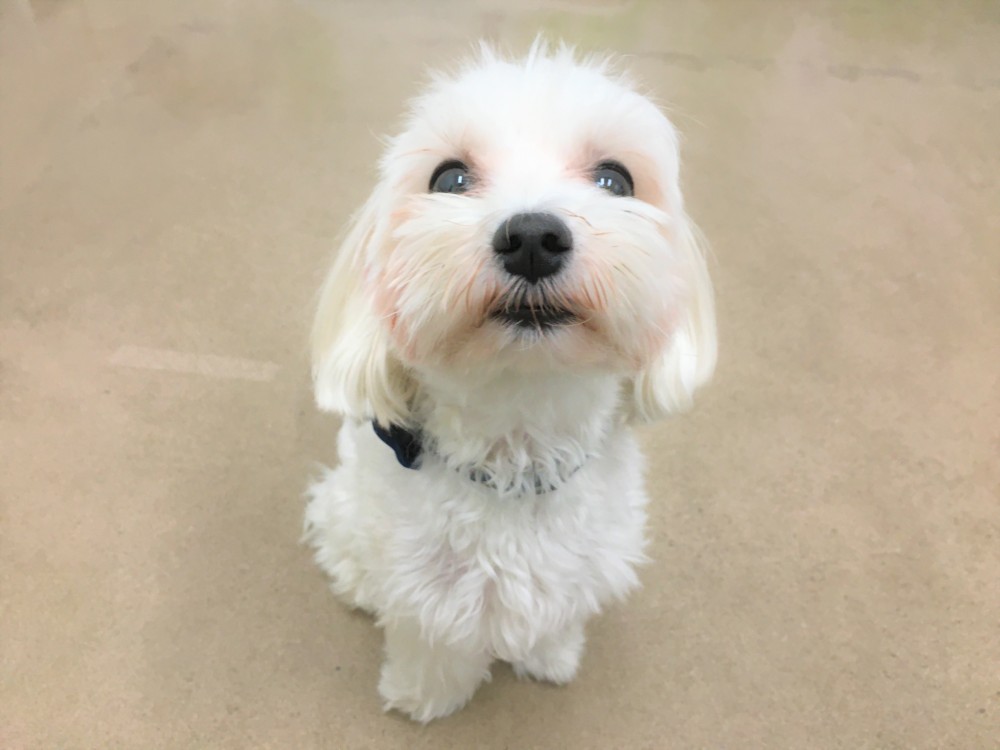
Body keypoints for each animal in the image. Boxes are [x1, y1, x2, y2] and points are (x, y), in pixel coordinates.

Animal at [304, 41, 716, 722]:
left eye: (615, 180)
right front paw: (423, 698)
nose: (532, 238)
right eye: (449, 179)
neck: (519, 440)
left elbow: (556, 620)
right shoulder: (426, 596)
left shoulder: (580, 571)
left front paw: (550, 659)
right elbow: (431, 647)